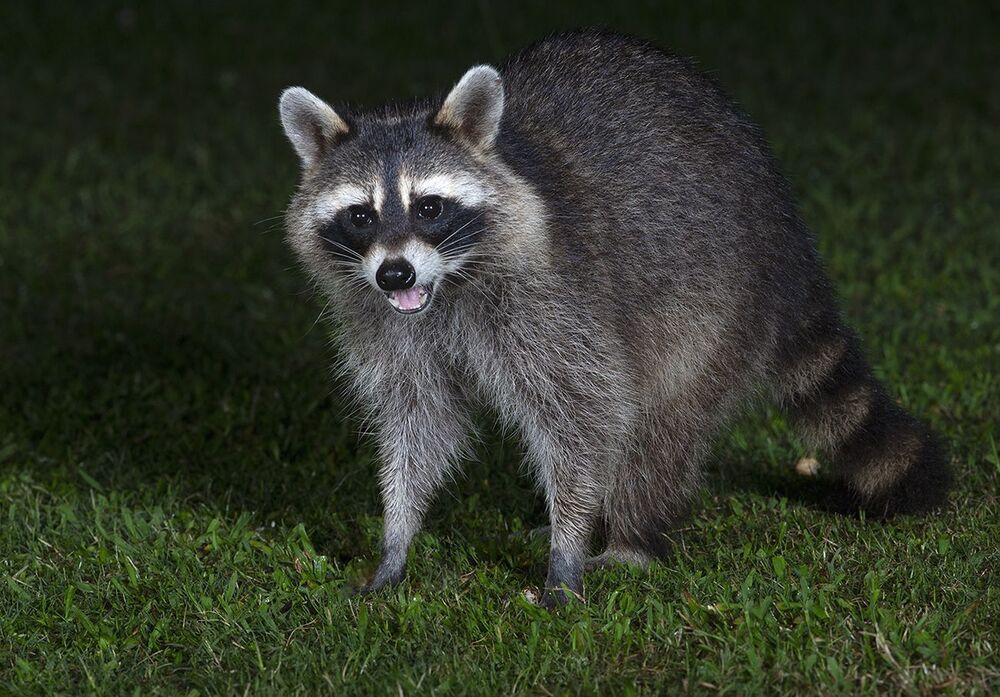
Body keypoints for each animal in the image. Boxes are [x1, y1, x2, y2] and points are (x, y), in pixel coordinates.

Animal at [278, 31, 950, 607]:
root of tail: (787, 230)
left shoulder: (555, 299)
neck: (447, 284)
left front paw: (568, 547)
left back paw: (630, 538)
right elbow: (417, 421)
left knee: (660, 423)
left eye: (429, 207)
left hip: (715, 306)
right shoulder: (384, 321)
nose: (395, 275)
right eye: (360, 216)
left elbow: (587, 411)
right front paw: (397, 535)